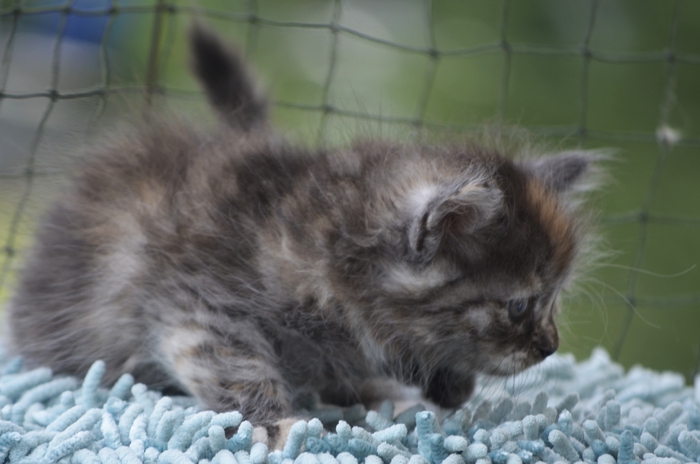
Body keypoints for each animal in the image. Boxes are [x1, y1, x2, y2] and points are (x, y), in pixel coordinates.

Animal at [7, 26, 598, 430]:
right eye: (519, 306)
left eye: (554, 301)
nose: (550, 346)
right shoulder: (196, 303)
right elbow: (234, 365)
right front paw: (280, 428)